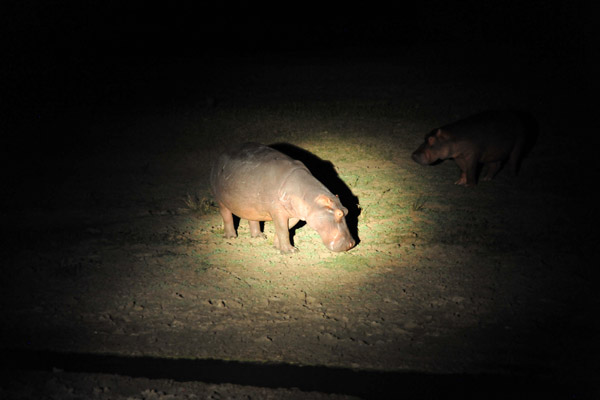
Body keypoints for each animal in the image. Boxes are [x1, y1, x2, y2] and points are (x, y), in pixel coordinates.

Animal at [210, 143, 354, 253]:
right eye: (339, 213)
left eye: (347, 211)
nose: (352, 244)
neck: (310, 198)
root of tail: (220, 156)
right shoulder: (277, 211)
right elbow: (282, 230)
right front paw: (291, 251)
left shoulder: (295, 214)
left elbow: (286, 229)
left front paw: (277, 246)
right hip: (221, 200)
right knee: (227, 216)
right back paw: (231, 237)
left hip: (251, 204)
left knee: (253, 218)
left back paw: (259, 237)